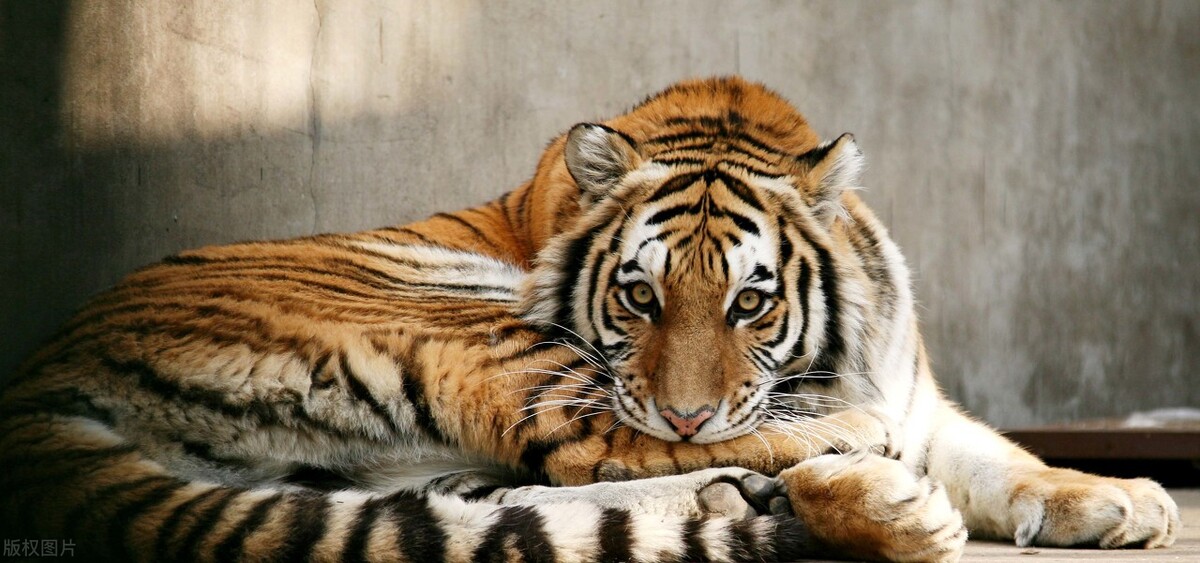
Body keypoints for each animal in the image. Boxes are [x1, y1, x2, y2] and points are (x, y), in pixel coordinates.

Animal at [0, 76, 1178, 562]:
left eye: (753, 299)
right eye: (638, 294)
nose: (691, 409)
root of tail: (32, 389)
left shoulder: (923, 394)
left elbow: (1004, 456)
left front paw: (1116, 499)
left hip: (367, 468)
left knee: (521, 500)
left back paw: (793, 500)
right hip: (465, 309)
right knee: (591, 446)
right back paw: (847, 476)